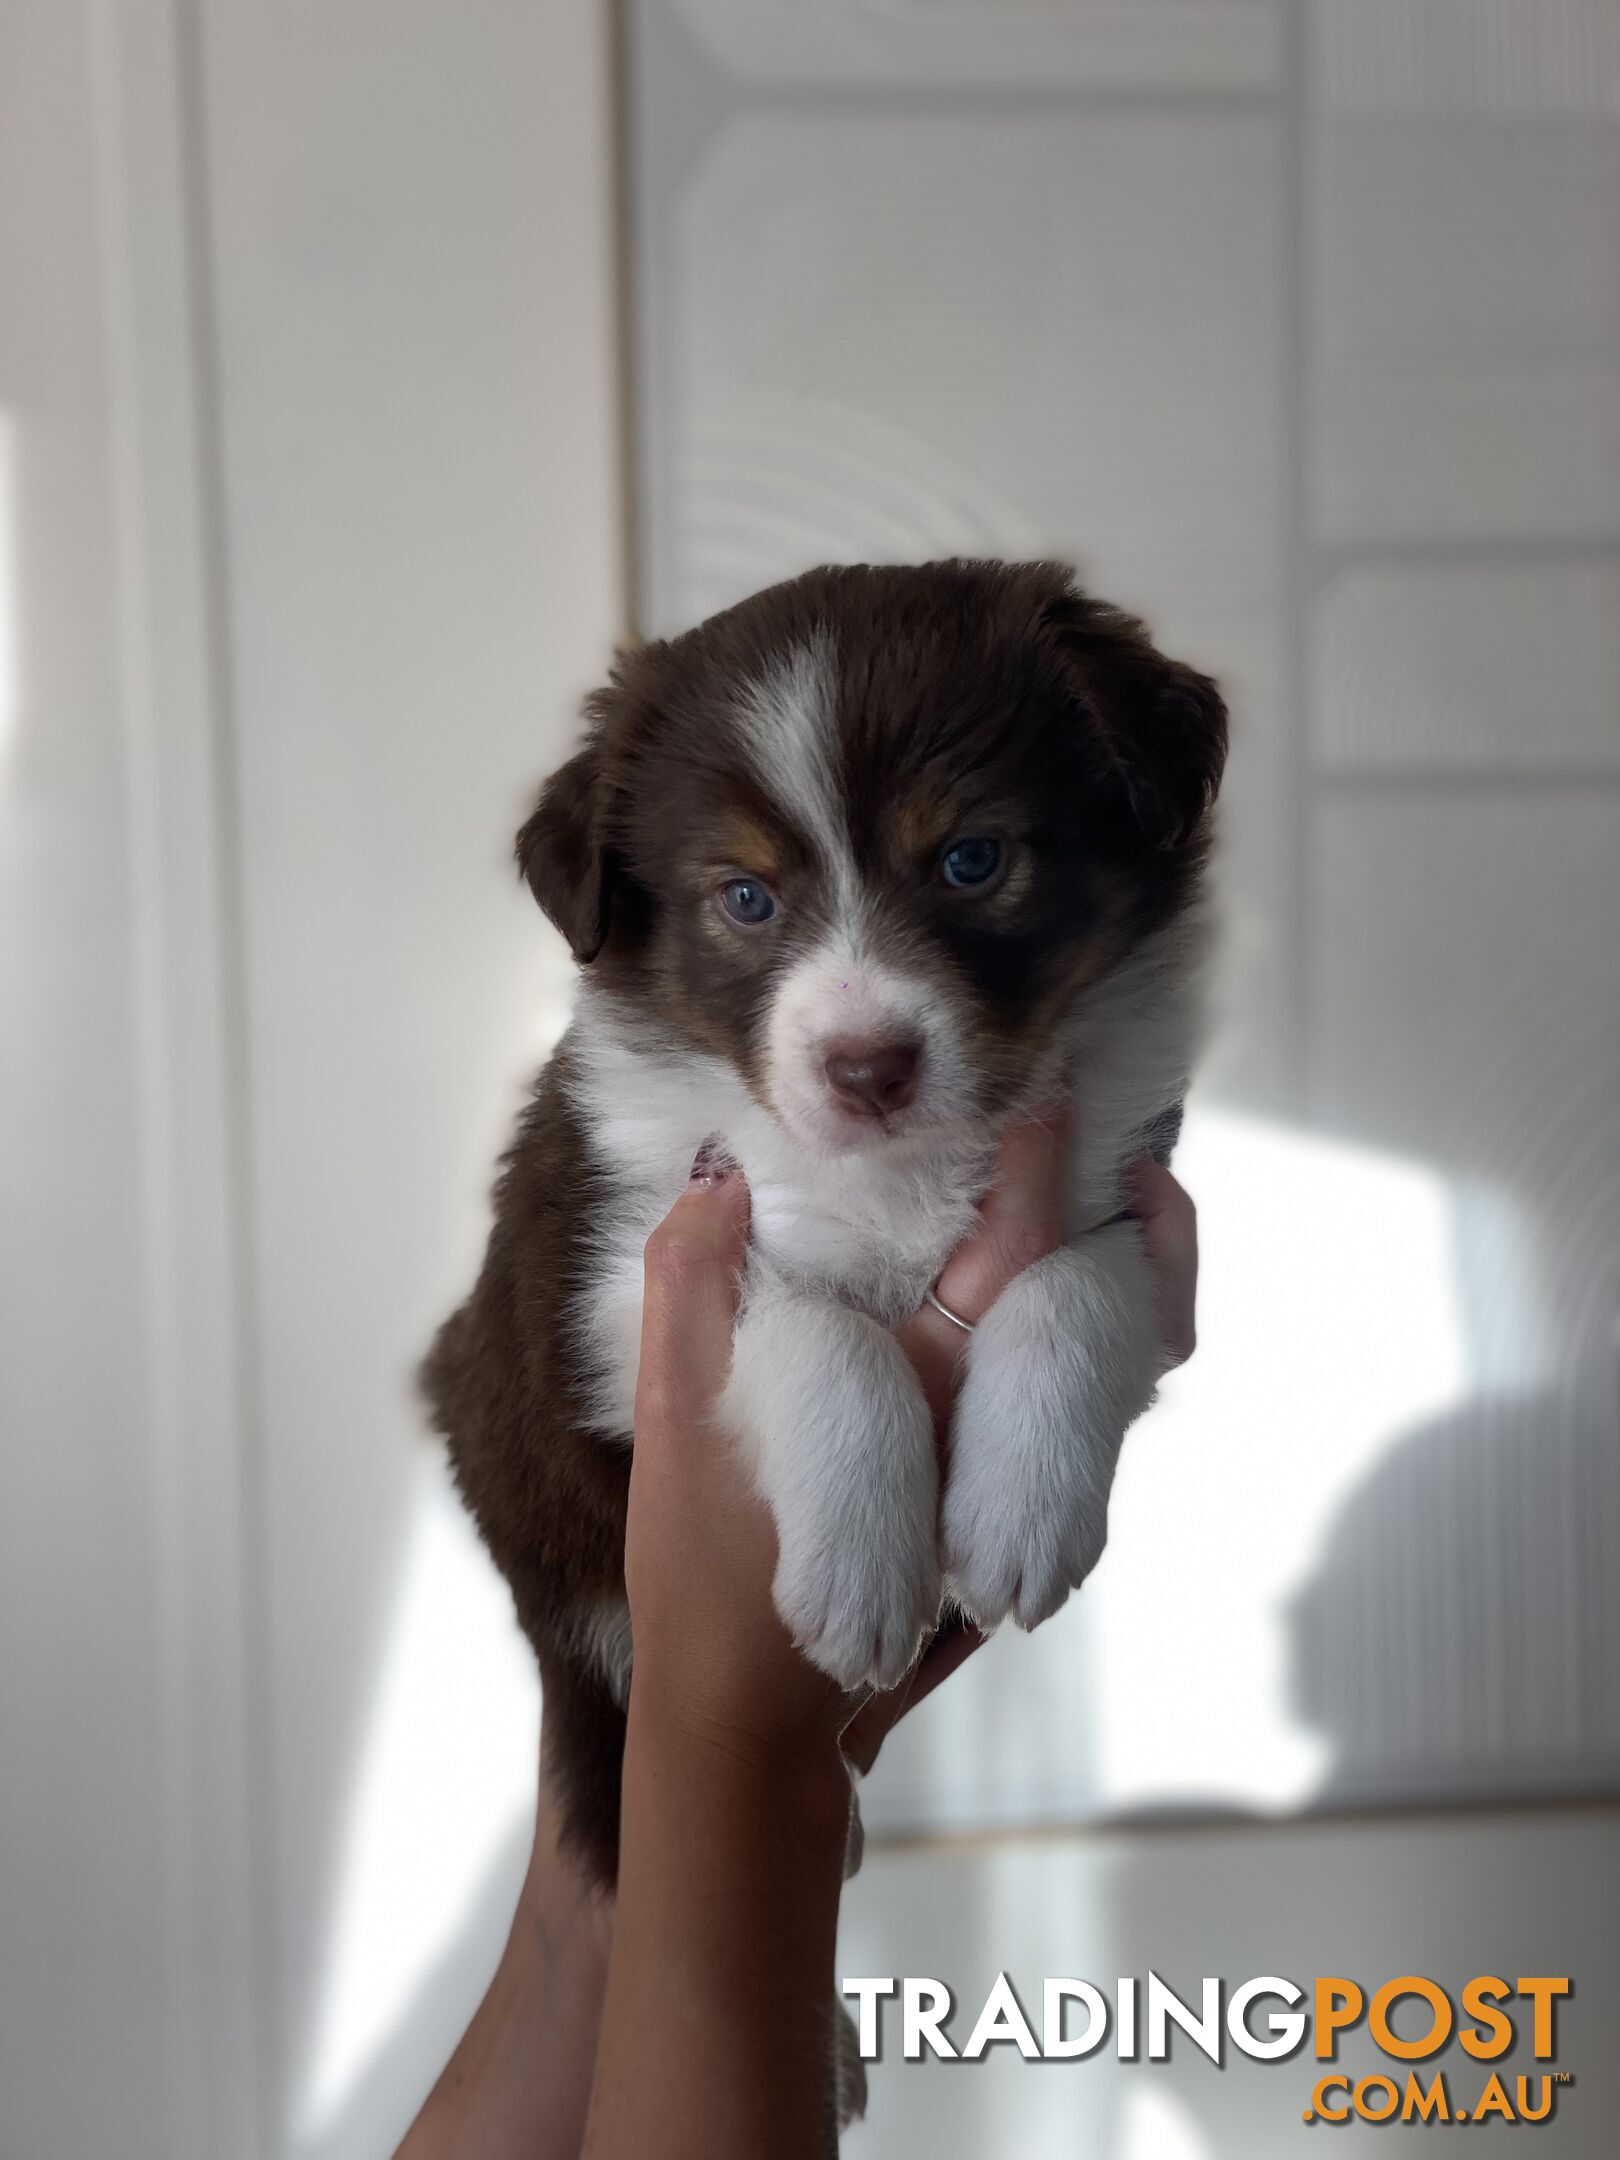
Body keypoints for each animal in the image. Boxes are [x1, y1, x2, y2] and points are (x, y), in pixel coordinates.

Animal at [425, 561, 1226, 1892]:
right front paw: (861, 1568)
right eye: (744, 898)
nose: (867, 1067)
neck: (898, 1165)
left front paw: (1022, 1508)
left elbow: (1076, 1279)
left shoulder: (1142, 1205)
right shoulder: (600, 1289)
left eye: (970, 860)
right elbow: (811, 1318)